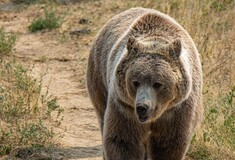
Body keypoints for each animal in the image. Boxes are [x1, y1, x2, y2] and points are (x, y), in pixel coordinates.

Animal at [87, 7, 203, 160]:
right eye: (135, 82)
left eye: (158, 83)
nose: (142, 107)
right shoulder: (125, 106)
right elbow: (123, 140)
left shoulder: (178, 109)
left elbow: (168, 144)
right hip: (99, 76)